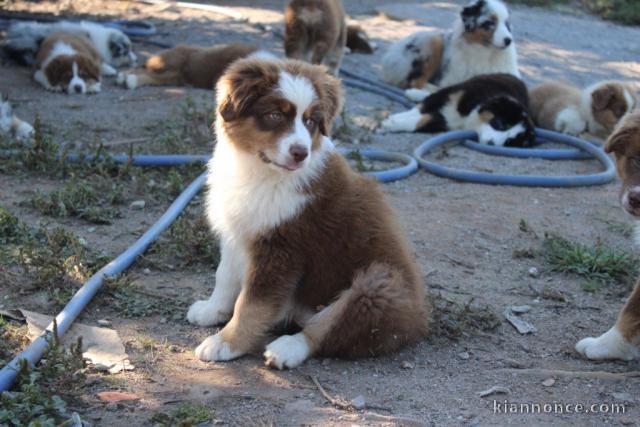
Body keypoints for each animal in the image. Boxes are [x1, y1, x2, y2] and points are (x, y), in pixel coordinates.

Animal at [116, 43, 272, 90]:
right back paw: (127, 79)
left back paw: (126, 78)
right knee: (144, 70)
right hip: (169, 64)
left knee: (149, 74)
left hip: (174, 76)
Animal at [185, 58, 428, 370]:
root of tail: (419, 320)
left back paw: (287, 348)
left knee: (330, 326)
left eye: (311, 121)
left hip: (380, 284)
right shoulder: (237, 231)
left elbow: (252, 303)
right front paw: (212, 310)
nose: (300, 153)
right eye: (275, 115)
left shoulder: (282, 249)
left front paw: (225, 343)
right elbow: (224, 276)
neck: (261, 172)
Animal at [380, 0, 520, 101]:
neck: (486, 52)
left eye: (506, 23)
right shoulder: (453, 79)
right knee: (415, 81)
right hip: (434, 40)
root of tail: (391, 52)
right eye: (490, 23)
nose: (509, 40)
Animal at [380, 72, 536, 148]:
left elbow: (421, 121)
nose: (492, 144)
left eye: (508, 142)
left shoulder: (447, 125)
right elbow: (418, 110)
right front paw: (390, 120)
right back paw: (413, 92)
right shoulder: (451, 94)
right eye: (501, 124)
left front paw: (389, 124)